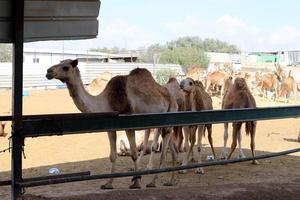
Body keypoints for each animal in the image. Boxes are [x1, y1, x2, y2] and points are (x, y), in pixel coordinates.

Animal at [45, 59, 179, 189]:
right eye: (60, 62)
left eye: (66, 67)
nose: (48, 72)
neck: (107, 102)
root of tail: (173, 99)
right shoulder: (111, 128)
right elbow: (113, 155)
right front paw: (108, 184)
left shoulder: (129, 125)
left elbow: (134, 154)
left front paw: (136, 182)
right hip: (164, 126)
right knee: (172, 150)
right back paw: (170, 181)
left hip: (168, 118)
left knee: (162, 154)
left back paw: (152, 182)